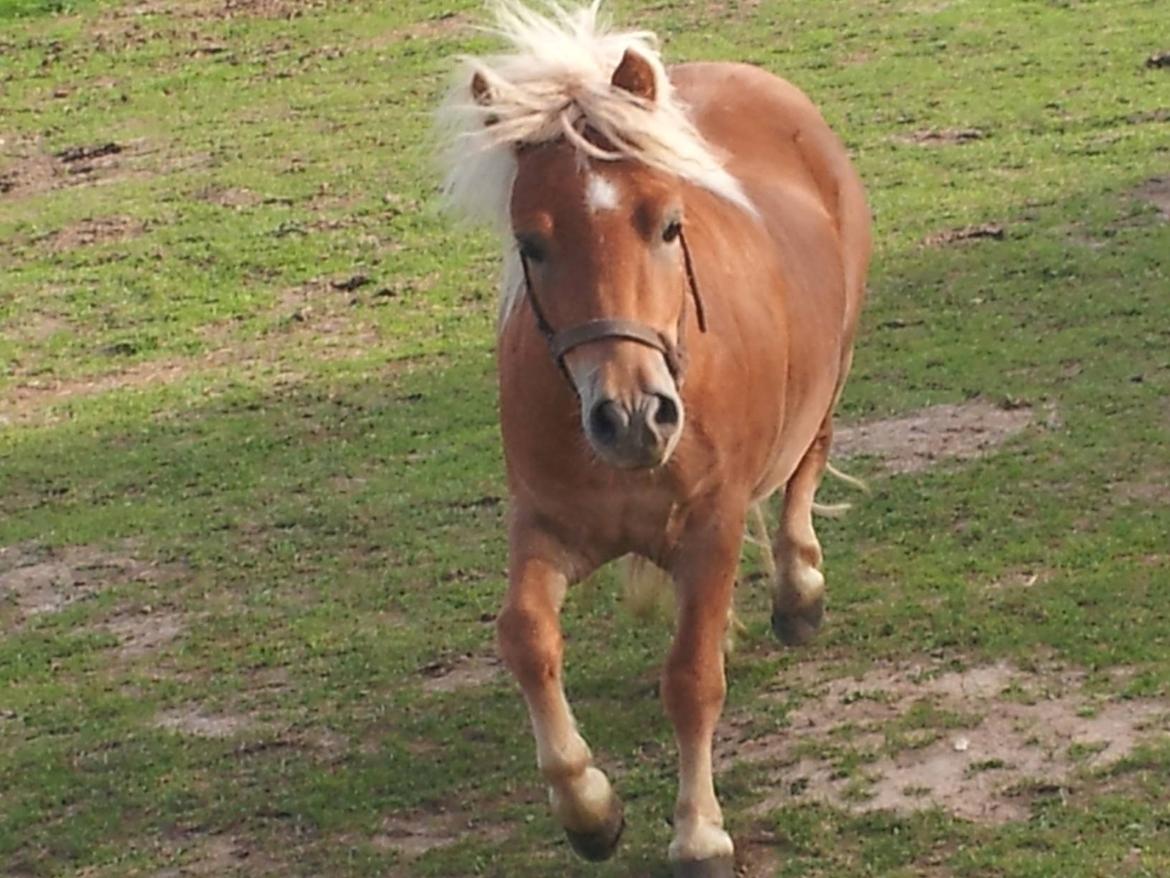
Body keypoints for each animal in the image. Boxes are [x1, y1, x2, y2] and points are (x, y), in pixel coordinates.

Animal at [439, 3, 870, 875]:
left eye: (669, 225)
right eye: (531, 244)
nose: (634, 415)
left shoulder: (712, 525)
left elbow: (692, 678)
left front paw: (699, 831)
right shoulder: (544, 525)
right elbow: (526, 638)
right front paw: (588, 809)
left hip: (830, 372)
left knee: (806, 470)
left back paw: (799, 592)